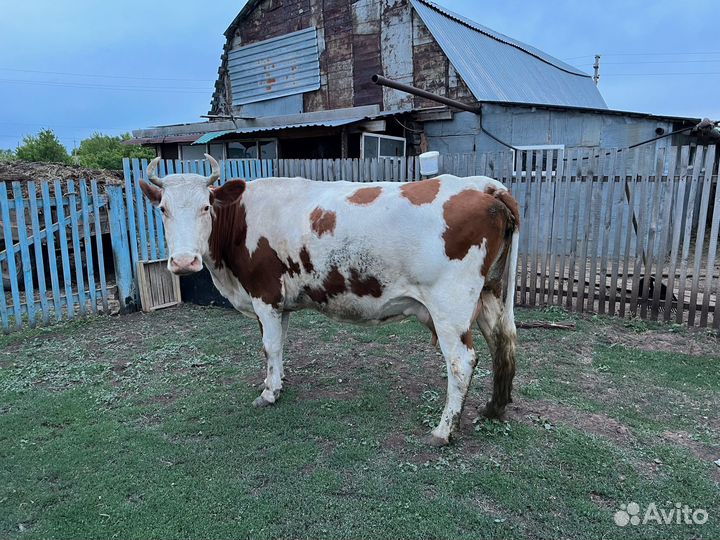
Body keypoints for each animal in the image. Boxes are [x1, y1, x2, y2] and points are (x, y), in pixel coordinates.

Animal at [140, 154, 520, 446]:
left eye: (206, 207)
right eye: (162, 209)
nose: (183, 262)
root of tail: (483, 185)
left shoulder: (265, 294)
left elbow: (269, 347)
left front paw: (268, 394)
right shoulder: (282, 301)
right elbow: (280, 346)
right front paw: (277, 383)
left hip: (449, 306)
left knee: (461, 361)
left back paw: (443, 431)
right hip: (489, 294)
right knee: (503, 344)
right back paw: (493, 408)